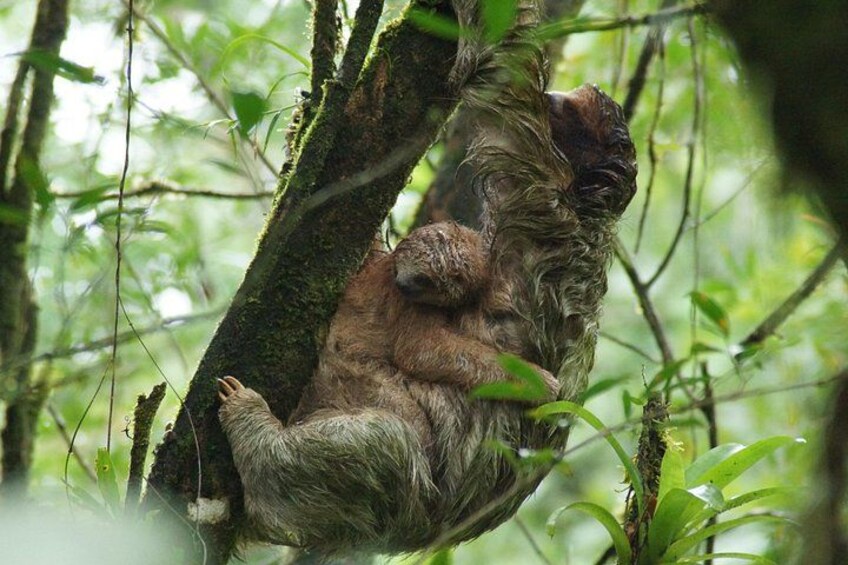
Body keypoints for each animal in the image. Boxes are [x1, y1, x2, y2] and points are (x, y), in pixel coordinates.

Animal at [217, 0, 637, 556]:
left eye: (571, 113)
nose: (555, 95)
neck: (589, 216)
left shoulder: (537, 193)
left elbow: (503, 71)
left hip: (398, 477)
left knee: (373, 443)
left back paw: (254, 433)